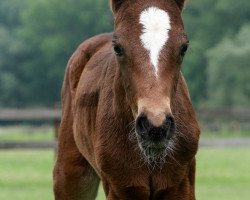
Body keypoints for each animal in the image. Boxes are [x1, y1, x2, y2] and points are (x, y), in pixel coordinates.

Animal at [53, 0, 200, 199]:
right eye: (118, 48)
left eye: (184, 47)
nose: (155, 127)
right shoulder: (122, 187)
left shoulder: (180, 185)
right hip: (70, 175)